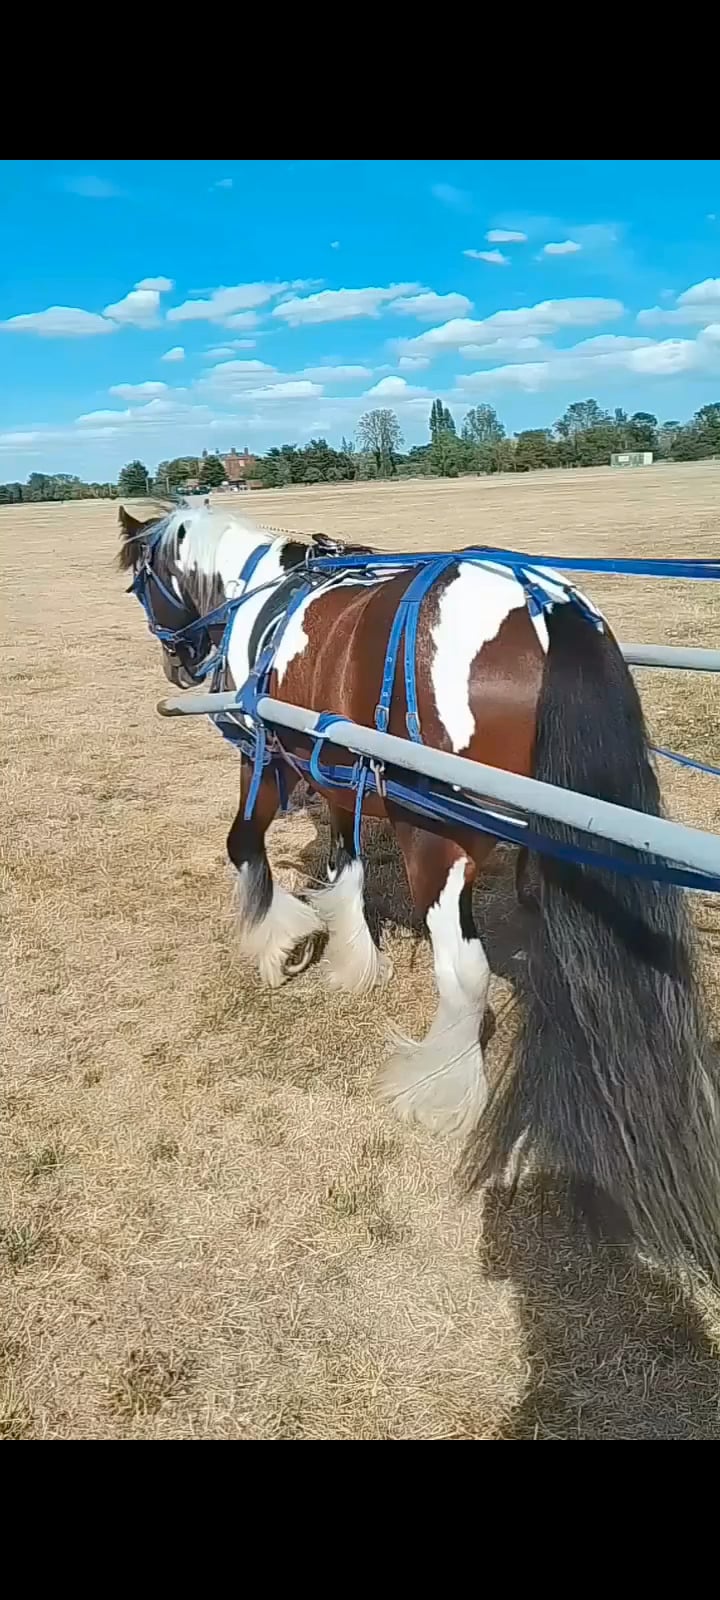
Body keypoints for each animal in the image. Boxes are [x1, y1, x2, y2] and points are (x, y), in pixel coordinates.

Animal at [118, 501, 720, 1276]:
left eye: (139, 583)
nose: (178, 662)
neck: (261, 595)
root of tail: (547, 606)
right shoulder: (338, 765)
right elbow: (346, 863)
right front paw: (352, 957)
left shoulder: (268, 755)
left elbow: (244, 845)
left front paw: (280, 943)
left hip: (434, 836)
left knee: (466, 973)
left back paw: (440, 1087)